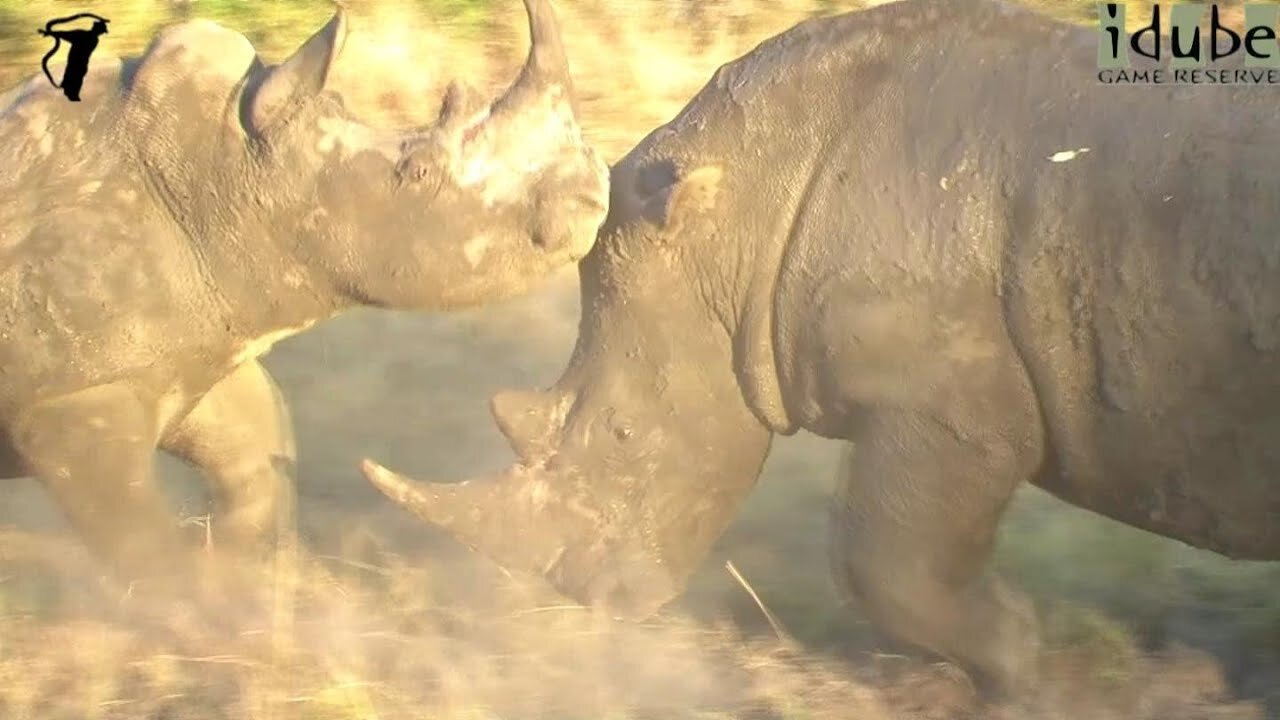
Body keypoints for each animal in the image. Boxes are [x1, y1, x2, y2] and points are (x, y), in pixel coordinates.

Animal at [0, 0, 609, 604]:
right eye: (419, 172)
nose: (594, 195)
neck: (222, 176)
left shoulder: (199, 345)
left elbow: (258, 455)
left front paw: (227, 562)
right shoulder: (73, 398)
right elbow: (139, 541)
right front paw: (188, 608)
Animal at [358, 0, 1280, 702]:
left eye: (620, 436)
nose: (580, 599)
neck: (743, 203)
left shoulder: (940, 406)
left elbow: (883, 563)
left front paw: (1025, 671)